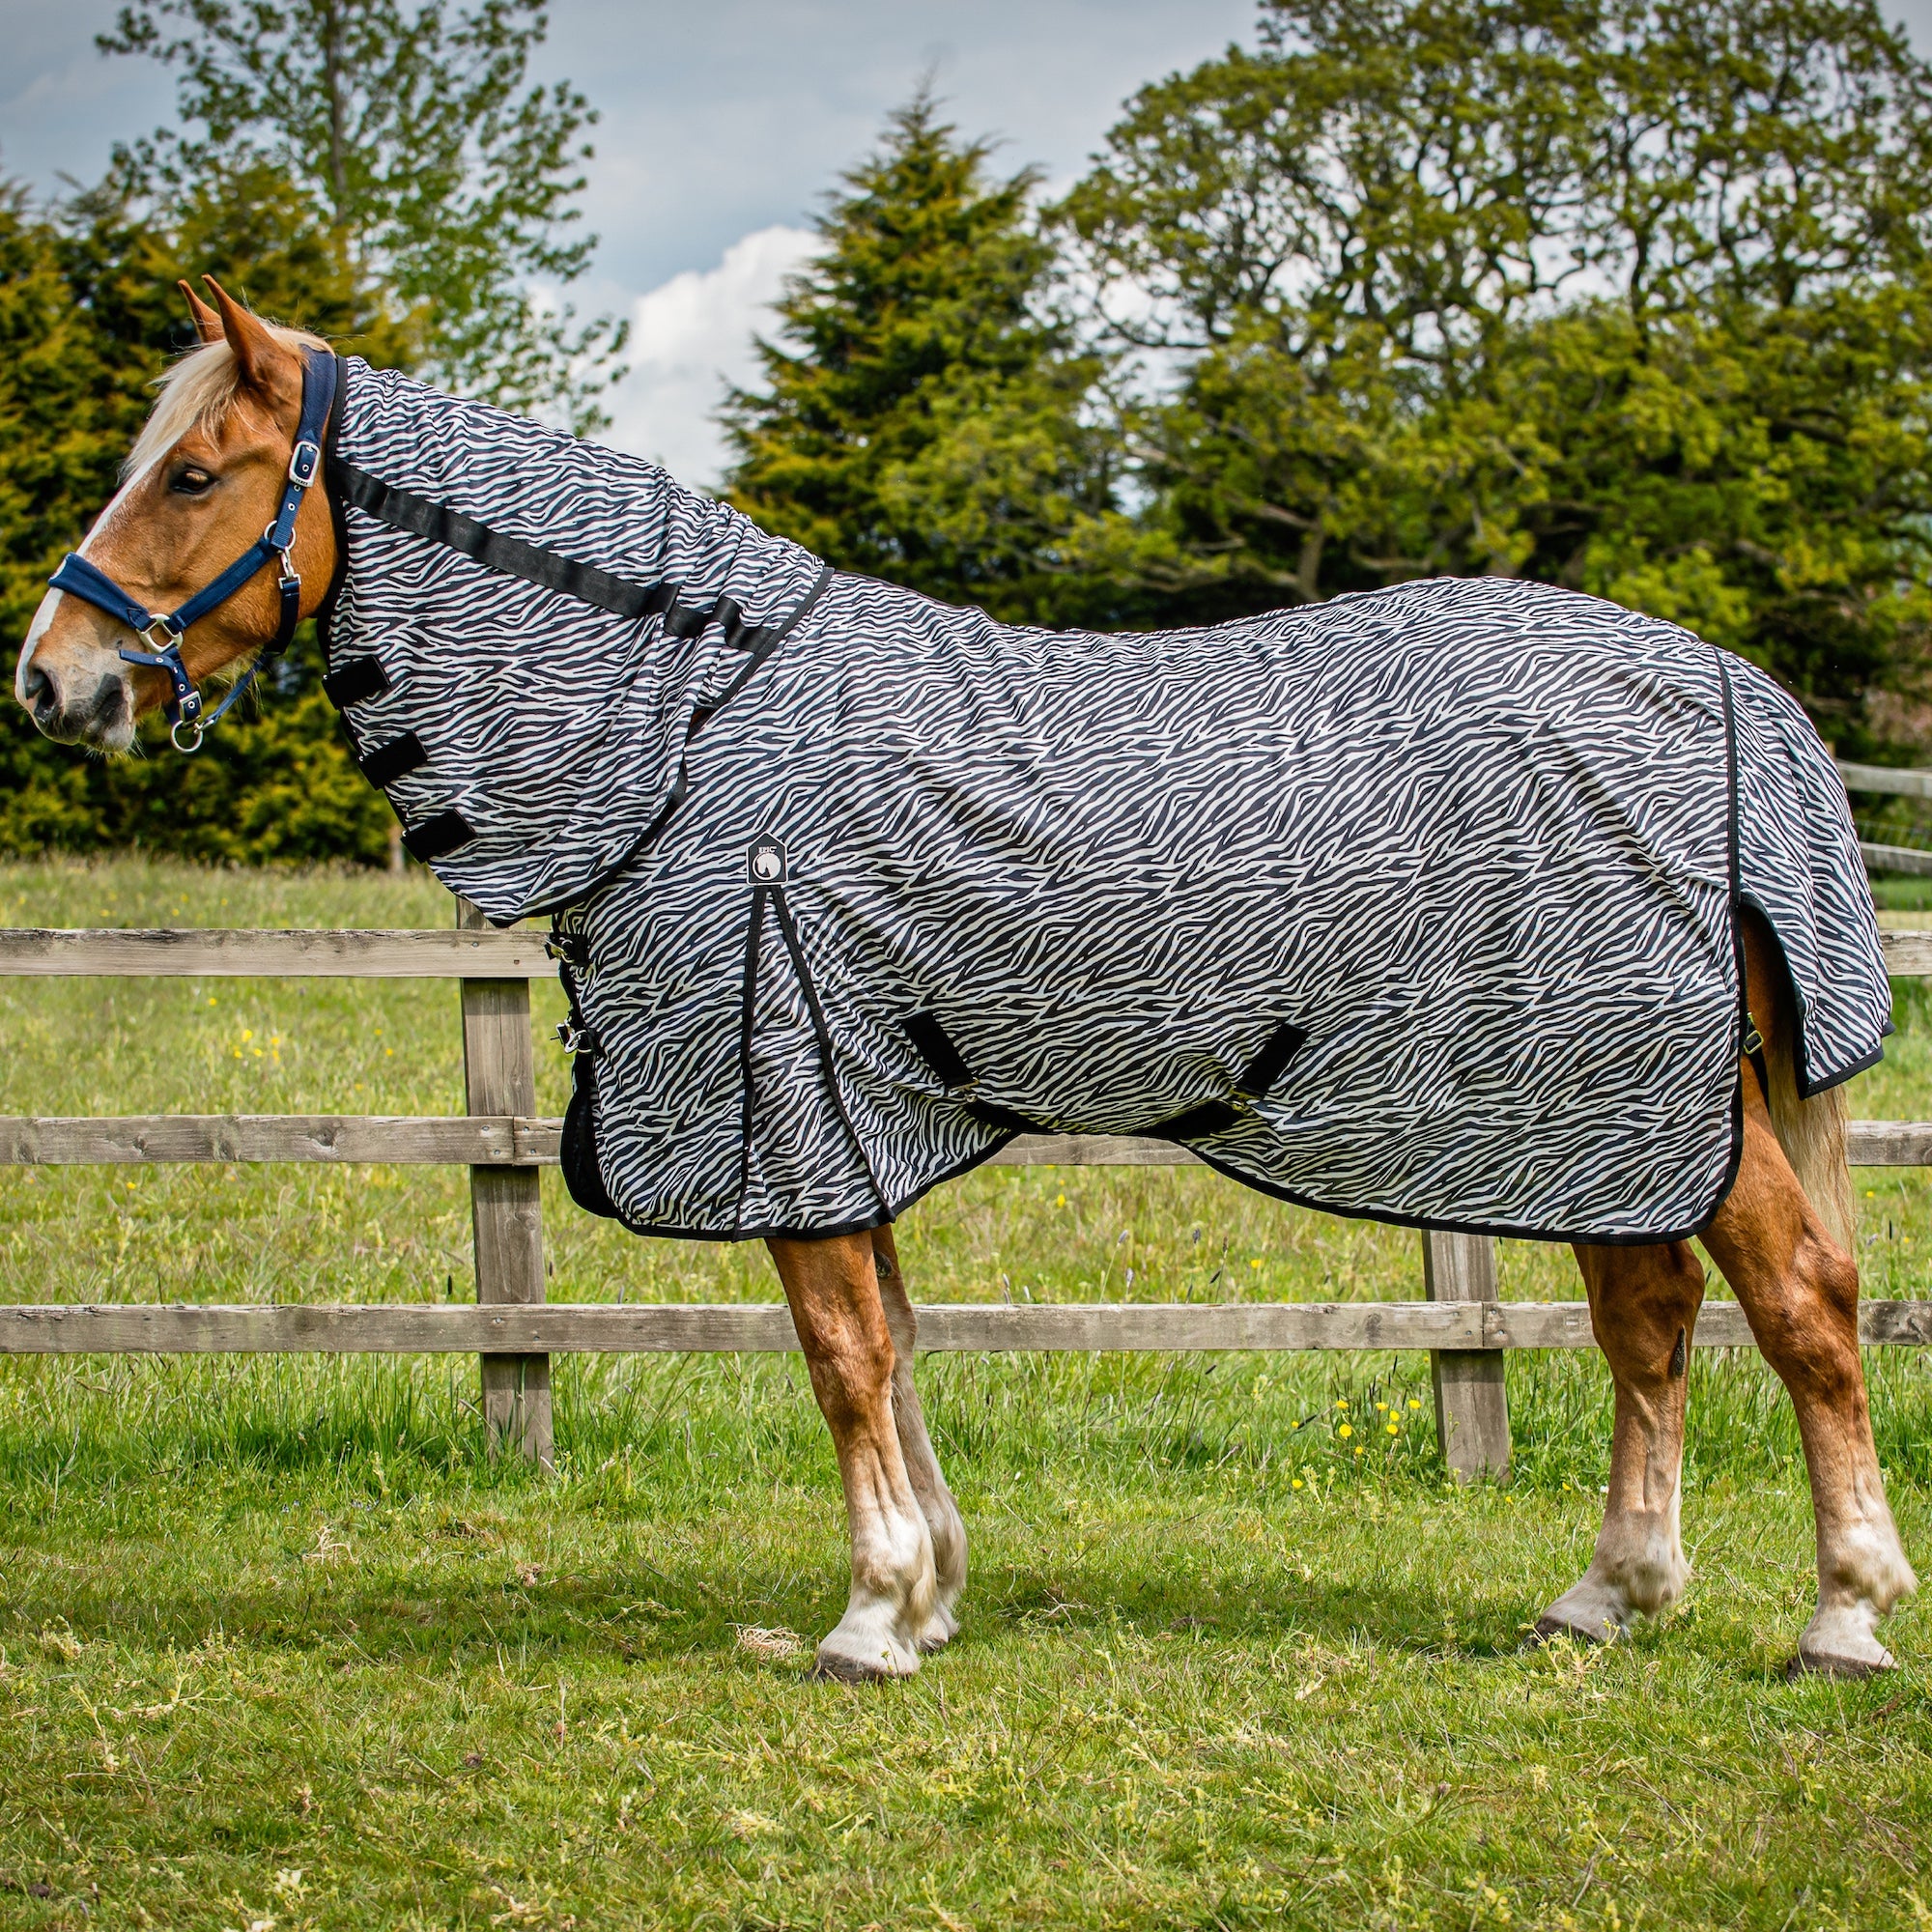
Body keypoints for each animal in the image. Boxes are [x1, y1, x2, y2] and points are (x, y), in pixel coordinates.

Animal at [15, 279, 1916, 1681]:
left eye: (192, 477)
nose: (52, 678)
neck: (689, 727)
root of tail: (1725, 685)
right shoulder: (848, 1111)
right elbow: (898, 1343)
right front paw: (925, 1590)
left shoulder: (784, 1097)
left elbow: (843, 1355)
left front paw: (868, 1619)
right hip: (1594, 1118)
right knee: (1649, 1322)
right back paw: (1606, 1598)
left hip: (1644, 1107)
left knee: (1802, 1305)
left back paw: (1841, 1615)